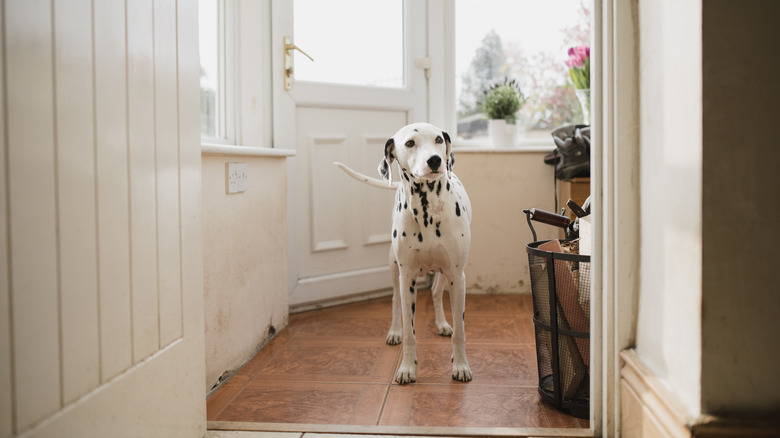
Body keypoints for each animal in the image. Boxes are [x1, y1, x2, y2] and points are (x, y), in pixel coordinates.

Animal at [334, 122, 472, 384]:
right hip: (394, 269)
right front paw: (407, 367)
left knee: (436, 292)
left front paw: (460, 365)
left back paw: (441, 323)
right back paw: (394, 331)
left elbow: (460, 331)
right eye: (409, 143)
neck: (427, 210)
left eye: (439, 139)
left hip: (445, 273)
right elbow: (410, 332)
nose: (436, 160)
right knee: (395, 300)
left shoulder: (457, 276)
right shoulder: (407, 278)